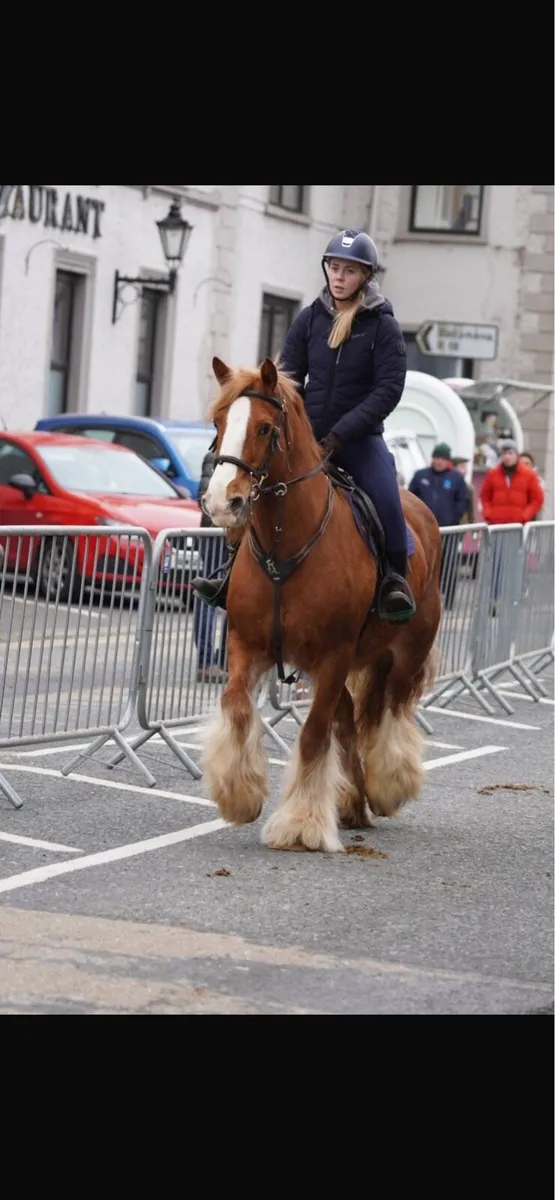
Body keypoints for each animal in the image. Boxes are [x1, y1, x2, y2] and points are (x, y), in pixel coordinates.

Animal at [199, 355, 442, 853]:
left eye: (265, 428)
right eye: (218, 421)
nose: (222, 502)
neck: (286, 543)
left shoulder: (333, 657)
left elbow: (313, 735)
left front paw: (301, 824)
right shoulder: (246, 646)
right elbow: (237, 706)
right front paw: (239, 793)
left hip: (406, 652)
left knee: (391, 709)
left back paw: (386, 786)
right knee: (349, 720)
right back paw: (352, 800)